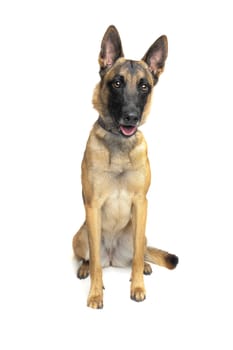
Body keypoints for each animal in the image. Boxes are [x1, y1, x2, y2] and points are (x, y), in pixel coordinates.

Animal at [73, 25, 178, 308]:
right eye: (117, 83)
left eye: (144, 86)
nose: (131, 117)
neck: (119, 144)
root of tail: (112, 256)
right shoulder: (93, 205)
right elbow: (96, 265)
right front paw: (95, 293)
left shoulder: (141, 203)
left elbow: (139, 257)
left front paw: (138, 286)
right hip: (81, 235)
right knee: (92, 258)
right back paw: (85, 267)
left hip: (139, 234)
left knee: (139, 254)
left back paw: (144, 266)